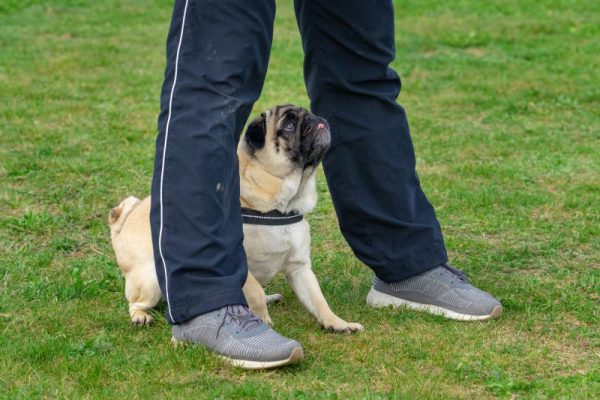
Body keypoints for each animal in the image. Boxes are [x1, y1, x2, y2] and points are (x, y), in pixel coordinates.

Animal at [107, 104, 360, 332]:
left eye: (308, 113)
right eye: (288, 125)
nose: (314, 118)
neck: (279, 207)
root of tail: (123, 219)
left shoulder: (300, 268)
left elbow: (318, 300)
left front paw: (337, 323)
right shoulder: (238, 265)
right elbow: (254, 293)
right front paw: (264, 321)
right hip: (150, 279)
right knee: (136, 302)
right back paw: (140, 316)